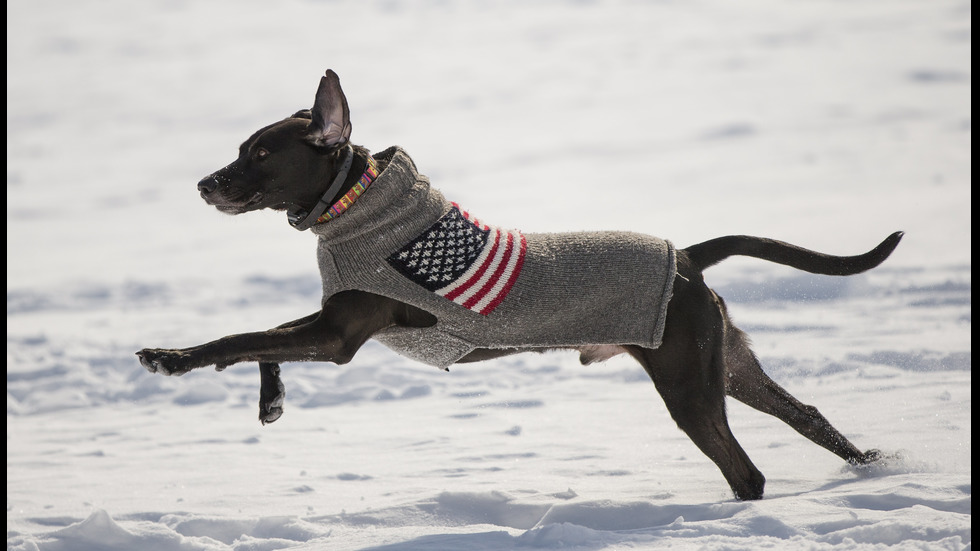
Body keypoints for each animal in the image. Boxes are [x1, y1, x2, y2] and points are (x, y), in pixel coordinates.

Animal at [138, 69, 904, 500]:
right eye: (241, 149)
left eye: (262, 153)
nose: (205, 183)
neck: (355, 207)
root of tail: (685, 257)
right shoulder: (330, 324)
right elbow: (263, 337)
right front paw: (270, 401)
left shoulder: (339, 335)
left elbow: (239, 335)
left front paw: (171, 358)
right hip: (727, 363)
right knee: (808, 415)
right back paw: (872, 464)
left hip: (687, 378)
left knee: (746, 470)